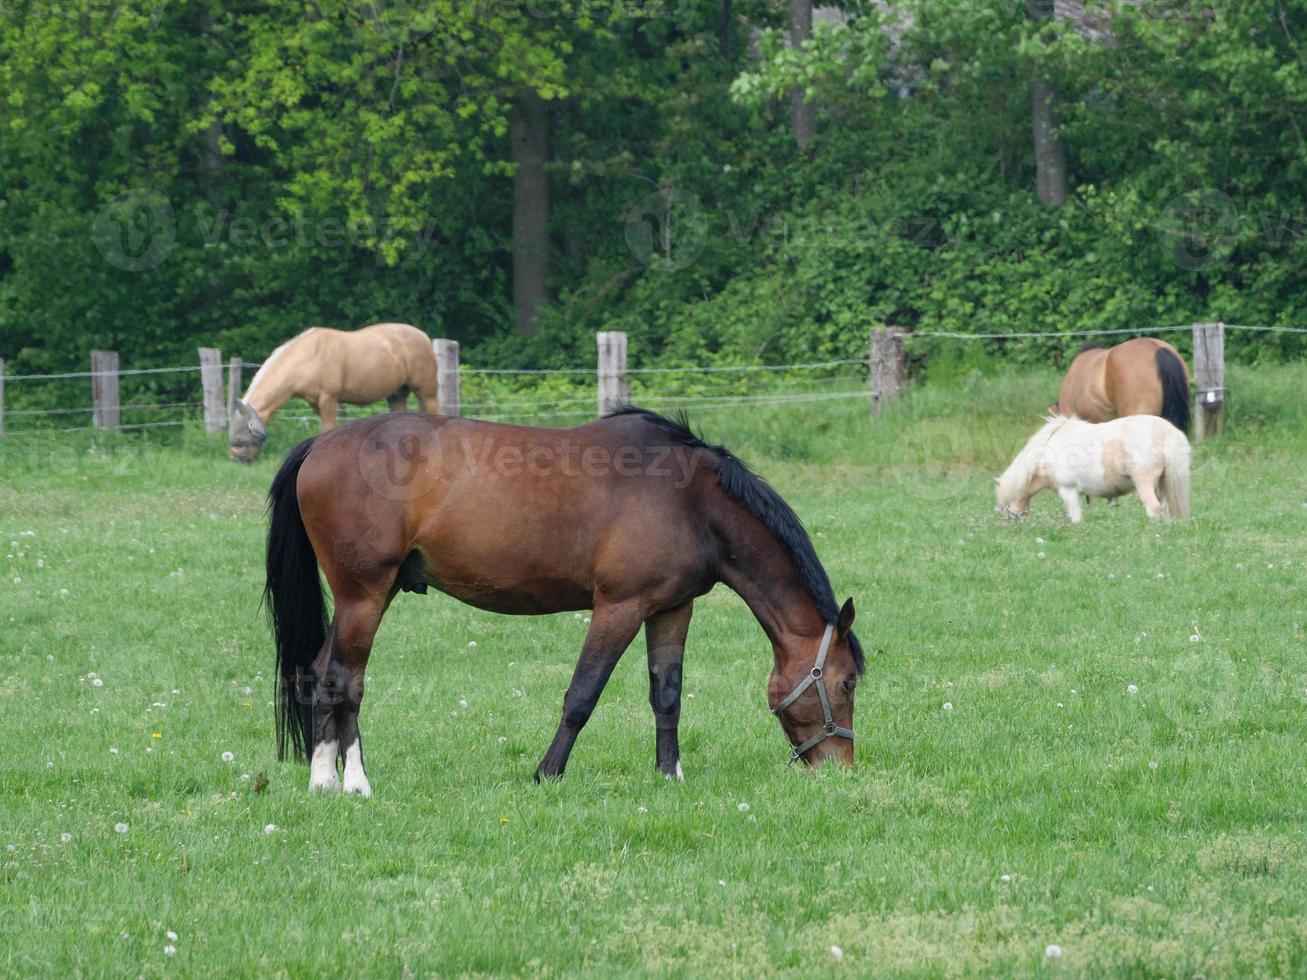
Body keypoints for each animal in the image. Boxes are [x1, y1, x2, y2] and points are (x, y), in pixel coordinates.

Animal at [230, 320, 439, 462]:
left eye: (240, 438)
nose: (236, 459)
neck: (308, 357)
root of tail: (424, 336)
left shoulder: (328, 400)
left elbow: (329, 429)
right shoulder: (316, 404)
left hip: (426, 392)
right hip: (397, 395)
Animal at [261, 407, 862, 799]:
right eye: (849, 682)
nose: (842, 768)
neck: (690, 500)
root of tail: (319, 445)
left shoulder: (671, 609)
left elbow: (667, 695)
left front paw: (670, 776)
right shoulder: (619, 607)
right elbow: (582, 696)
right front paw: (546, 774)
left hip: (367, 597)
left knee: (321, 670)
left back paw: (328, 778)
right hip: (363, 596)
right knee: (343, 677)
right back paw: (346, 782)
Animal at [993, 412, 1191, 522]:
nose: (1008, 522)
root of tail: (1167, 432)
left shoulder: (1068, 491)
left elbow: (1076, 519)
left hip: (1145, 484)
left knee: (1154, 508)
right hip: (1164, 485)